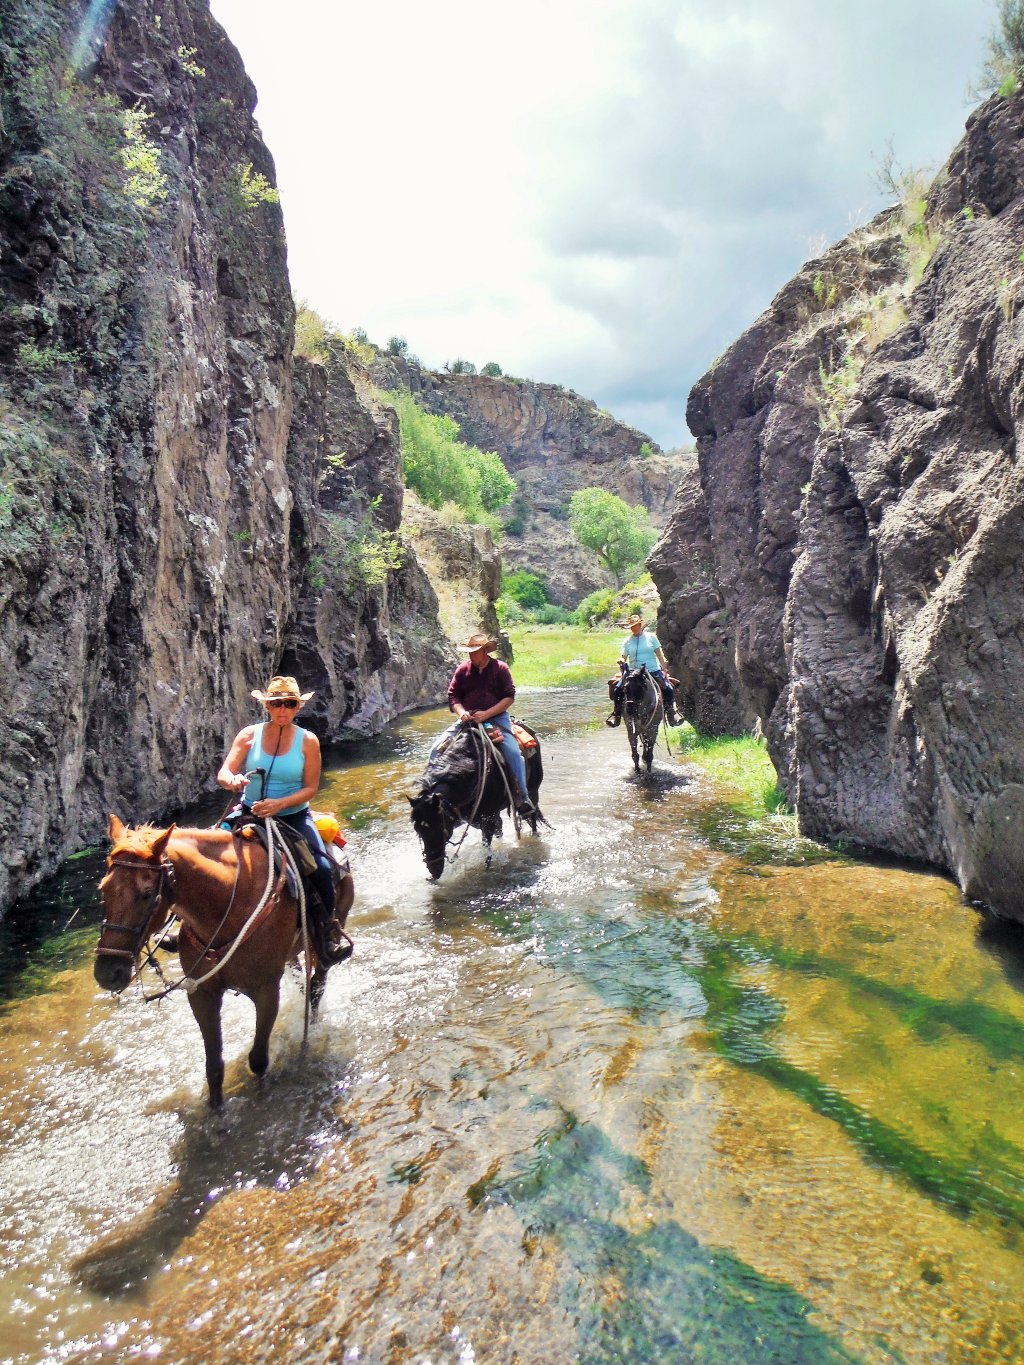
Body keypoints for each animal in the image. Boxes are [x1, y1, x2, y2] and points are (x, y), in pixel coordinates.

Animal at [96, 813, 352, 1102]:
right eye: (104, 889)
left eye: (147, 894)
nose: (107, 973)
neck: (227, 903)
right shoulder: (201, 994)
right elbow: (214, 1068)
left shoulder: (266, 991)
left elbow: (258, 1060)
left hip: (328, 934)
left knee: (317, 985)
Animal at [412, 720, 546, 879]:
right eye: (418, 830)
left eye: (440, 828)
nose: (434, 871)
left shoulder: (487, 821)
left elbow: (487, 850)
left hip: (533, 791)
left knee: (532, 817)